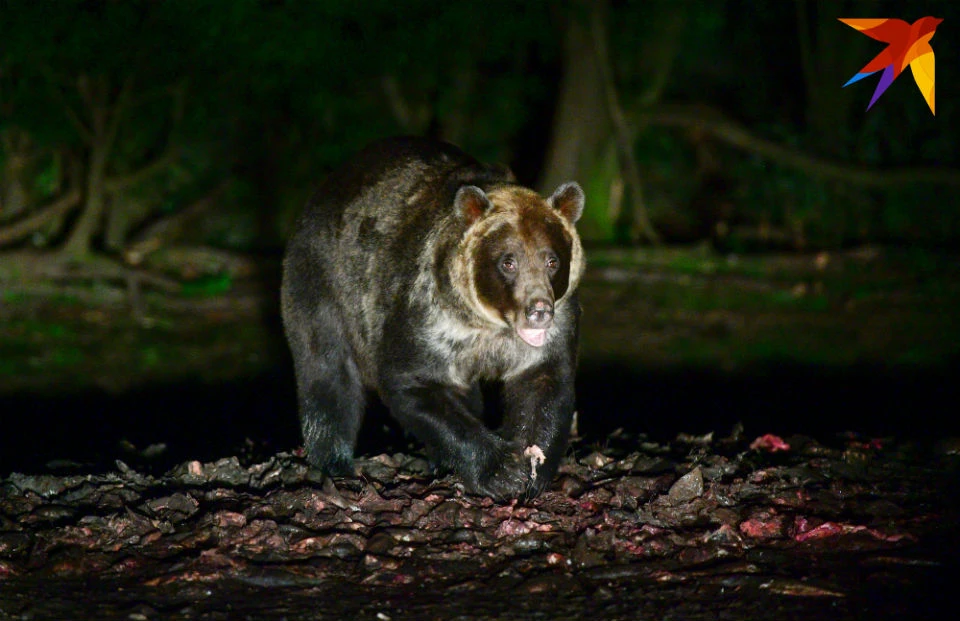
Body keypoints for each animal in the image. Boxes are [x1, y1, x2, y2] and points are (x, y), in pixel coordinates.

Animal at [282, 137, 584, 498]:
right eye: (508, 261)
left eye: (552, 260)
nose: (538, 311)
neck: (488, 326)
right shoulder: (428, 319)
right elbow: (414, 384)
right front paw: (502, 470)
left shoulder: (553, 328)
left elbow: (544, 385)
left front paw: (533, 468)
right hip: (322, 283)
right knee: (327, 373)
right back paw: (333, 463)